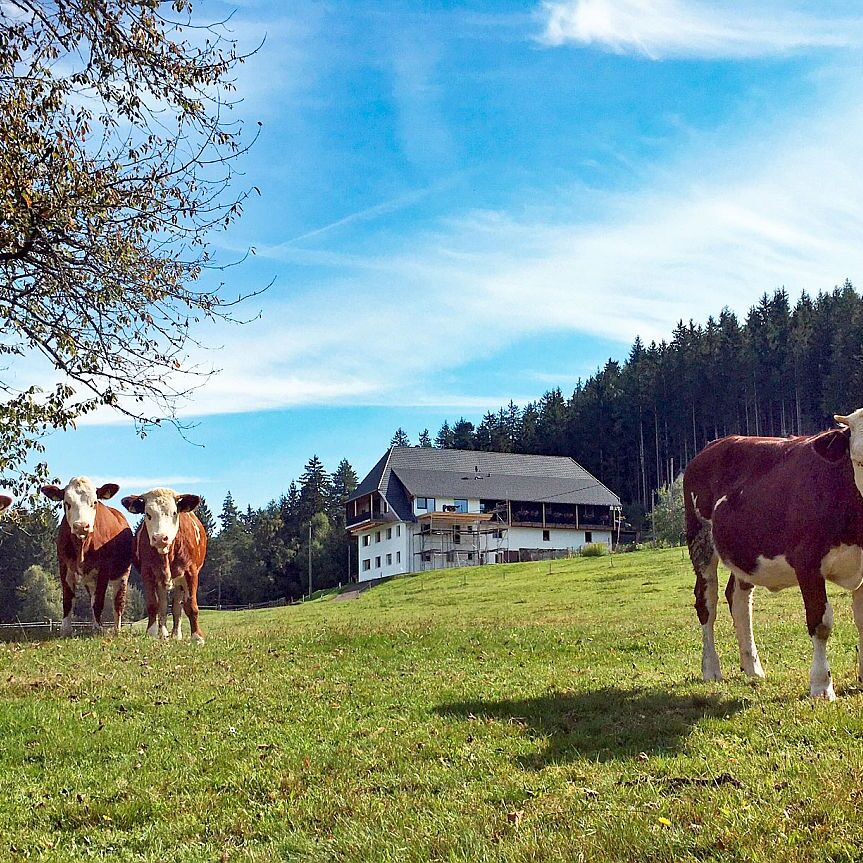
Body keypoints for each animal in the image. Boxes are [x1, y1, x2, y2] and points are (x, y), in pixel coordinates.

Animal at [41, 478, 132, 636]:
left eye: (94, 502)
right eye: (67, 503)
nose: (81, 526)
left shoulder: (104, 568)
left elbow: (100, 601)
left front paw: (99, 629)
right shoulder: (64, 565)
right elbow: (68, 599)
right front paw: (66, 630)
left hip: (123, 574)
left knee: (118, 602)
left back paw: (116, 629)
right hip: (90, 579)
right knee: (93, 599)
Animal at [121, 488, 207, 644]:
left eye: (174, 512)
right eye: (148, 514)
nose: (160, 538)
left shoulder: (191, 573)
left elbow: (191, 606)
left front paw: (197, 636)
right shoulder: (148, 573)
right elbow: (153, 604)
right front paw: (152, 632)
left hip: (179, 583)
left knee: (177, 607)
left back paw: (176, 634)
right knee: (163, 606)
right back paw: (164, 633)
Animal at [684, 410, 863, 700]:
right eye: (858, 459)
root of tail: (716, 443)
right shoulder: (807, 563)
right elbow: (820, 623)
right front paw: (821, 686)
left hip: (745, 552)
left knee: (738, 600)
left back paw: (752, 667)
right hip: (700, 538)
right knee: (706, 602)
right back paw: (711, 668)